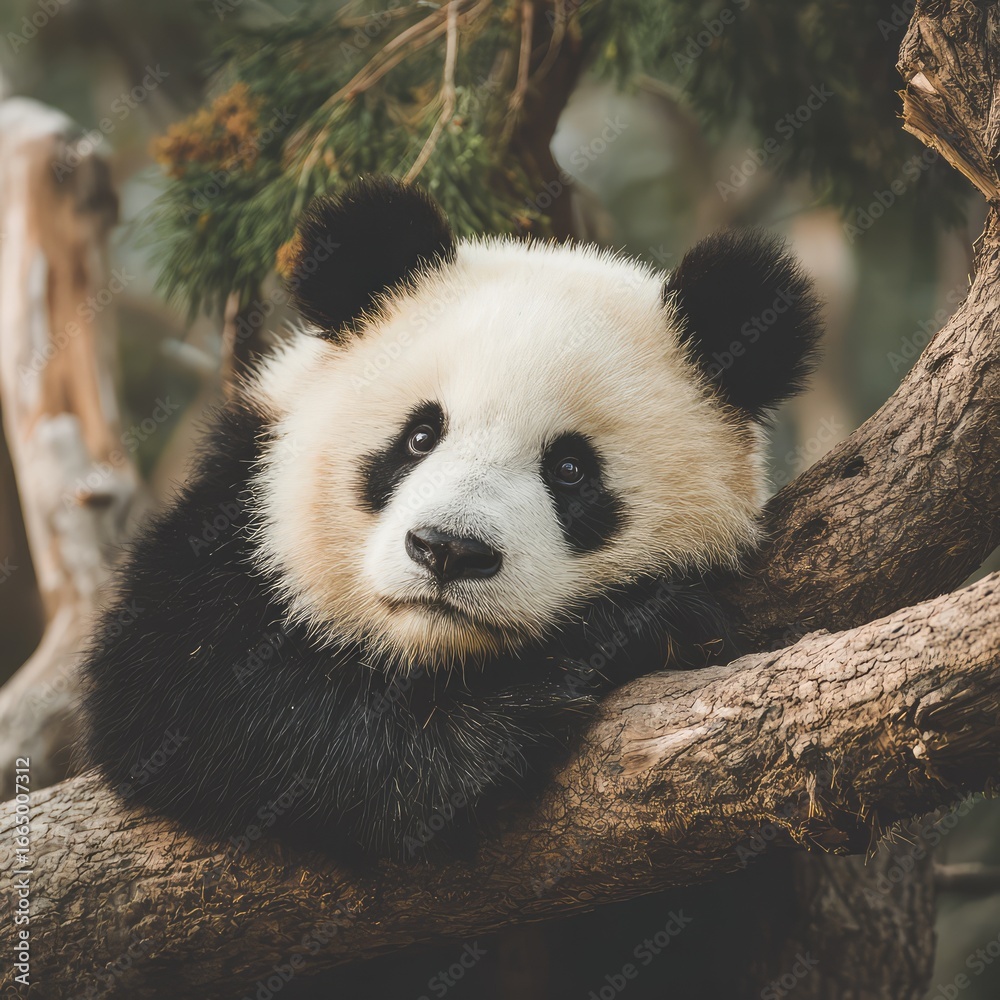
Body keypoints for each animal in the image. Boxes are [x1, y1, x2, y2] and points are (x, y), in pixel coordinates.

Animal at [82, 176, 820, 860]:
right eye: (419, 436)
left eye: (571, 470)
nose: (448, 550)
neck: (435, 654)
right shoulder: (236, 506)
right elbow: (192, 695)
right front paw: (618, 640)